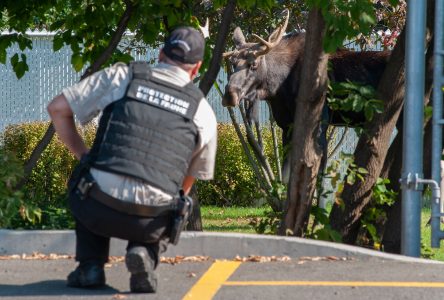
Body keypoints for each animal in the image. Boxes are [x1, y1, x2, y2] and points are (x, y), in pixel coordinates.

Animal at [222, 11, 392, 173]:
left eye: (254, 64)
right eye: (232, 63)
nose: (229, 95)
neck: (277, 88)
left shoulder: (321, 123)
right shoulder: (286, 125)